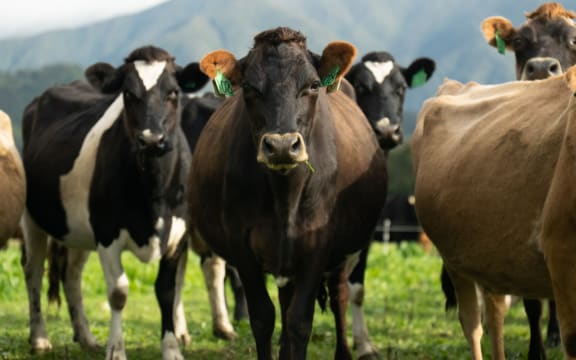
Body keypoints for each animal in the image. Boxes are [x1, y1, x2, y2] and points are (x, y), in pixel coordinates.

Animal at [21, 45, 206, 360]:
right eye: (128, 94)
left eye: (173, 92)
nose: (151, 140)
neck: (153, 196)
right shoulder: (107, 234)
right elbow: (118, 292)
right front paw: (116, 349)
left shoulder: (177, 236)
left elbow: (167, 292)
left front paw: (171, 348)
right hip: (32, 219)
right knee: (33, 271)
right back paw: (40, 338)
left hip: (78, 228)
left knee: (72, 275)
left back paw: (85, 337)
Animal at [187, 26, 390, 358]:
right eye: (249, 88)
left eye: (313, 85)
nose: (282, 145)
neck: (285, 197)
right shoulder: (241, 245)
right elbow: (263, 317)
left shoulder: (318, 244)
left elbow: (299, 321)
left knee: (340, 295)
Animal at [344, 50, 434, 358]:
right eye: (360, 87)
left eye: (401, 88)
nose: (386, 130)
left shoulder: (366, 231)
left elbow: (356, 287)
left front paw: (364, 344)